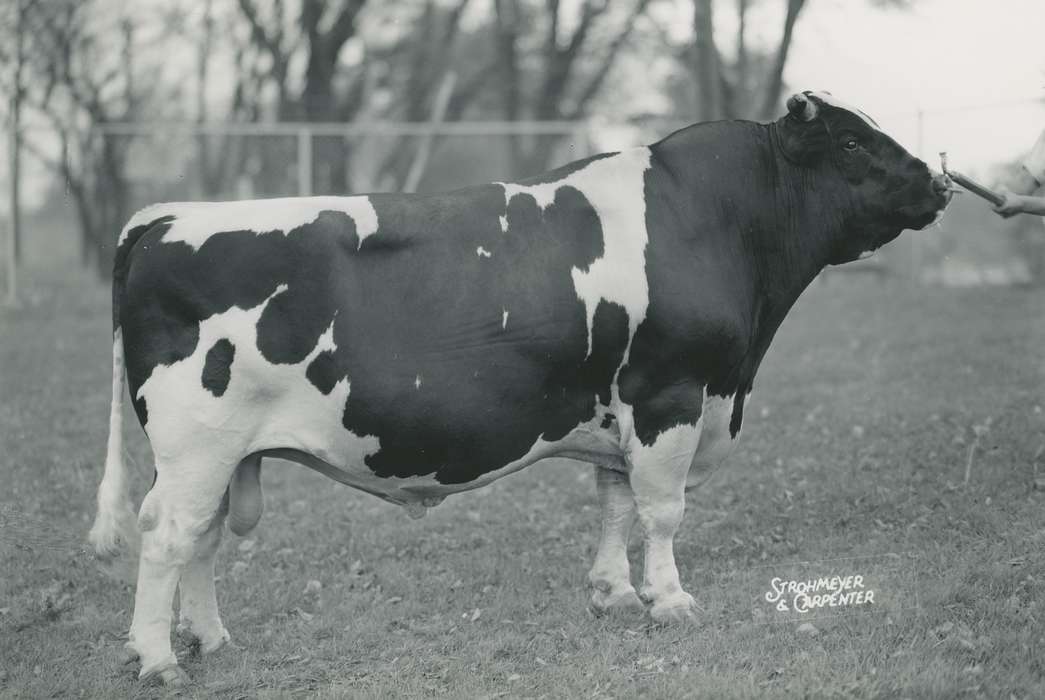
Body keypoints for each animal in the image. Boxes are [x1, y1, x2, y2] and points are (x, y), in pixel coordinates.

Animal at [89, 91, 951, 685]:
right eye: (850, 140)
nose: (938, 181)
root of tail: (162, 218)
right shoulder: (668, 393)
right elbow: (661, 512)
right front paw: (670, 601)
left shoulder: (619, 413)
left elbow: (614, 503)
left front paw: (613, 593)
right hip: (197, 442)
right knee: (167, 536)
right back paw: (160, 659)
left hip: (219, 452)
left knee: (198, 539)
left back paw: (210, 639)